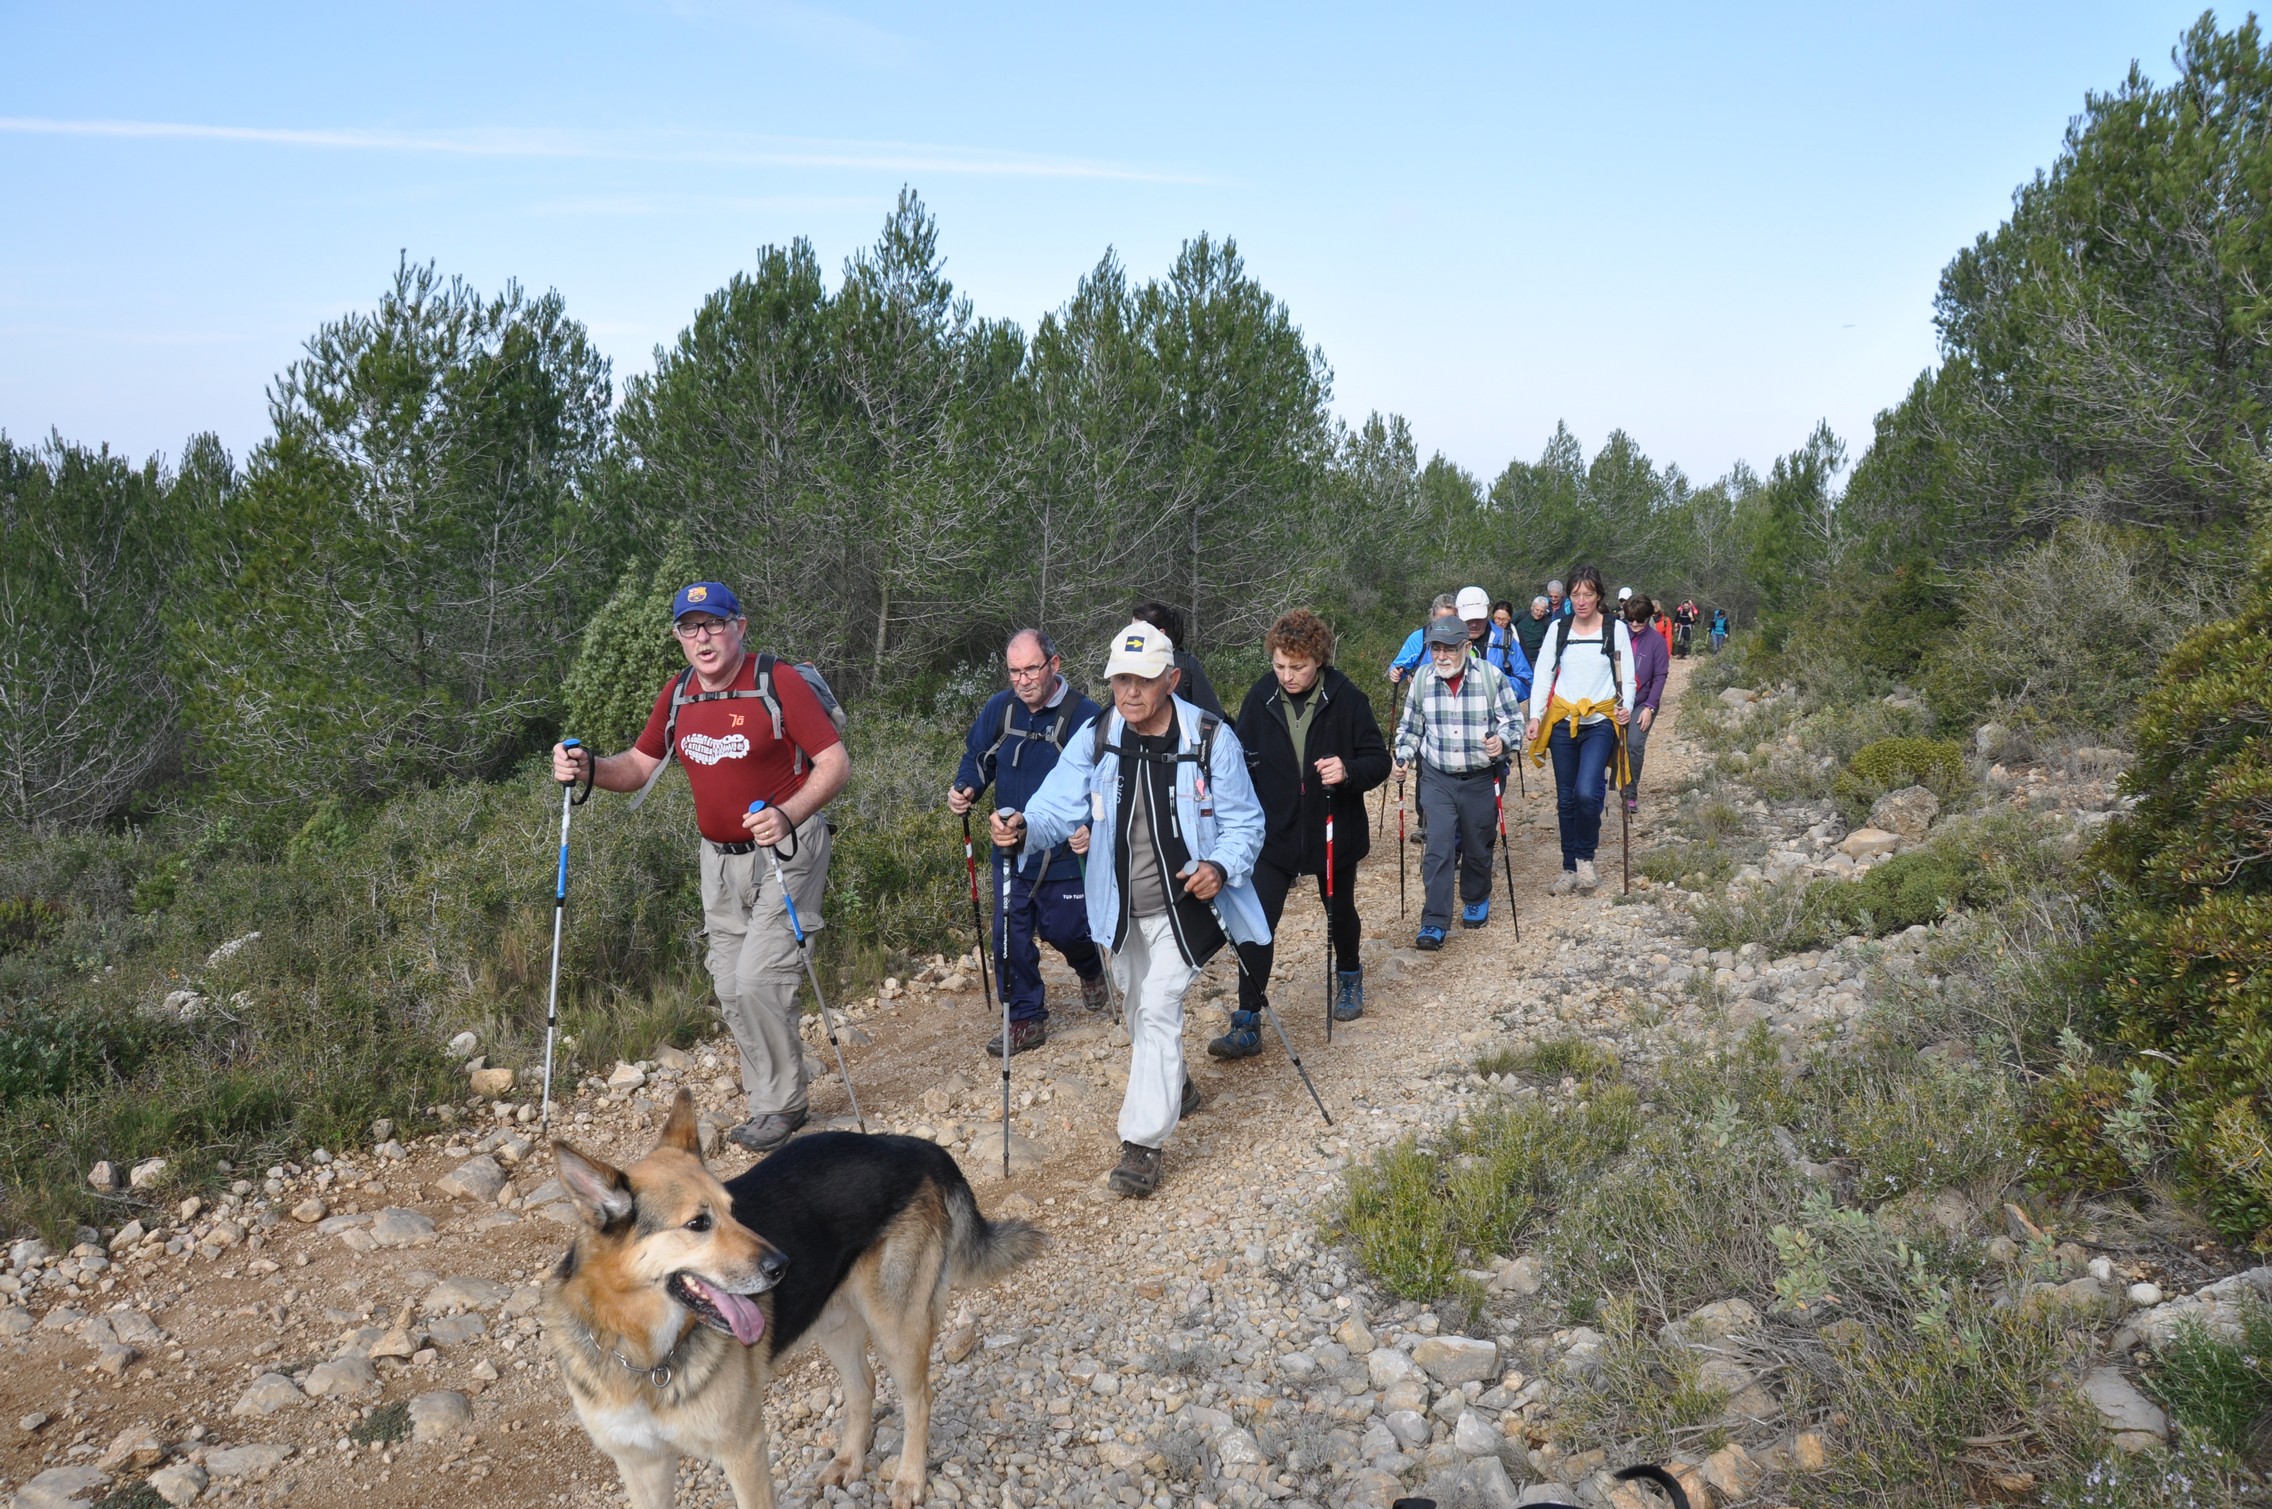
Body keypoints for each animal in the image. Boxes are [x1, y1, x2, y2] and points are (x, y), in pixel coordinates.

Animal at [543, 1090, 1042, 1508]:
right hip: (835, 1321)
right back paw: (849, 1461)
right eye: (699, 1224)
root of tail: (910, 1145)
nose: (782, 1265)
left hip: (896, 1326)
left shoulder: (743, 1450)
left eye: (734, 1210)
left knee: (918, 1397)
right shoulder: (642, 1466)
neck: (645, 1355)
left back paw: (909, 1479)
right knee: (863, 1387)